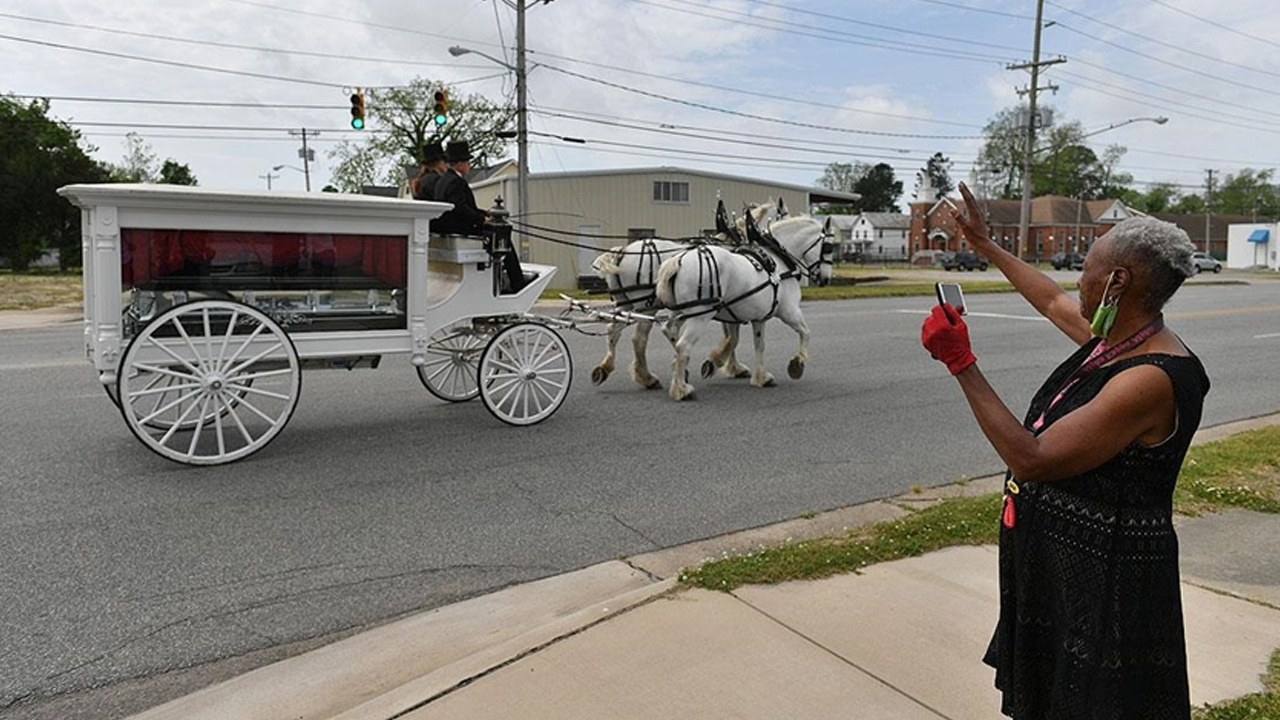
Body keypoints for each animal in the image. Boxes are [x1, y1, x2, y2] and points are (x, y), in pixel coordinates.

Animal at [593, 198, 783, 386]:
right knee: (639, 338)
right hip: (646, 306)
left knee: (613, 328)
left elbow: (729, 336)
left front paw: (729, 366)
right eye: (784, 212)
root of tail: (623, 252)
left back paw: (606, 367)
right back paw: (649, 377)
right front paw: (726, 365)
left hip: (626, 303)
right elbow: (732, 337)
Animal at [655, 210, 834, 399]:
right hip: (700, 316)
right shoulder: (789, 312)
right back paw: (681, 389)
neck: (778, 258)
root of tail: (678, 260)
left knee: (669, 331)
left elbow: (758, 345)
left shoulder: (758, 318)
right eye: (829, 247)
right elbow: (806, 333)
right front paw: (797, 363)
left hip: (681, 312)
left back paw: (678, 372)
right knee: (683, 346)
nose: (825, 279)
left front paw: (761, 377)